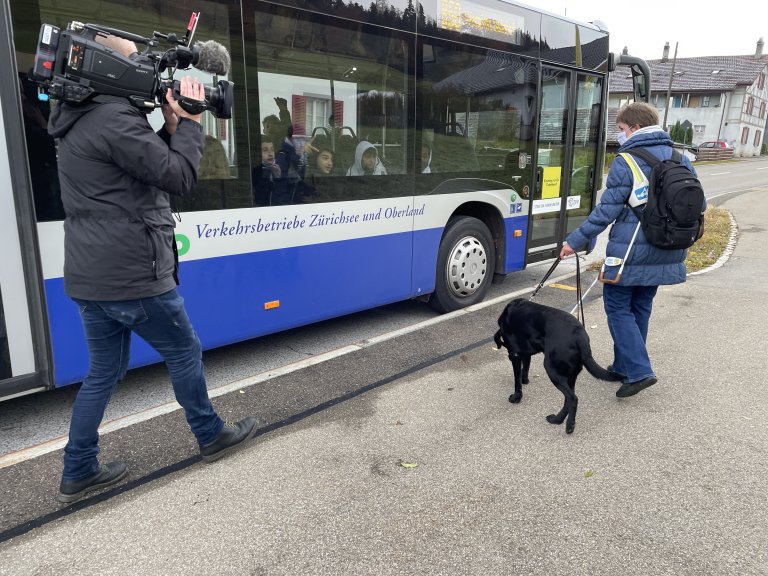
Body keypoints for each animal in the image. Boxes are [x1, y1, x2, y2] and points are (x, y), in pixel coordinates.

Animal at [492, 300, 624, 434]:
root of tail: (580, 337)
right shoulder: (525, 352)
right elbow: (526, 366)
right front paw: (525, 380)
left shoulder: (514, 354)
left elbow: (516, 380)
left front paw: (516, 397)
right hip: (571, 374)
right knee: (568, 399)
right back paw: (557, 419)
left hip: (551, 369)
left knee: (572, 398)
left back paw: (569, 425)